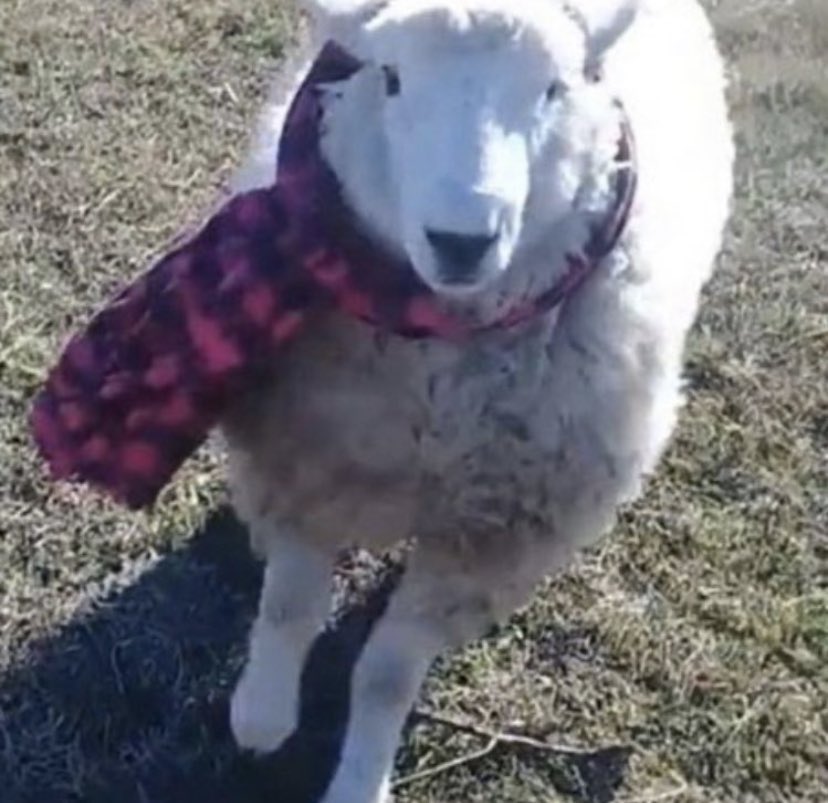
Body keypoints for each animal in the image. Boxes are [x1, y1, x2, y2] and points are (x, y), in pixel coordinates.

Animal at [223, 1, 734, 801]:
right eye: (391, 77)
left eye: (554, 90)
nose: (461, 241)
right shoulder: (310, 450)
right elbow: (290, 606)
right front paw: (262, 715)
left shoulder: (489, 537)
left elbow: (387, 675)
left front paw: (359, 777)